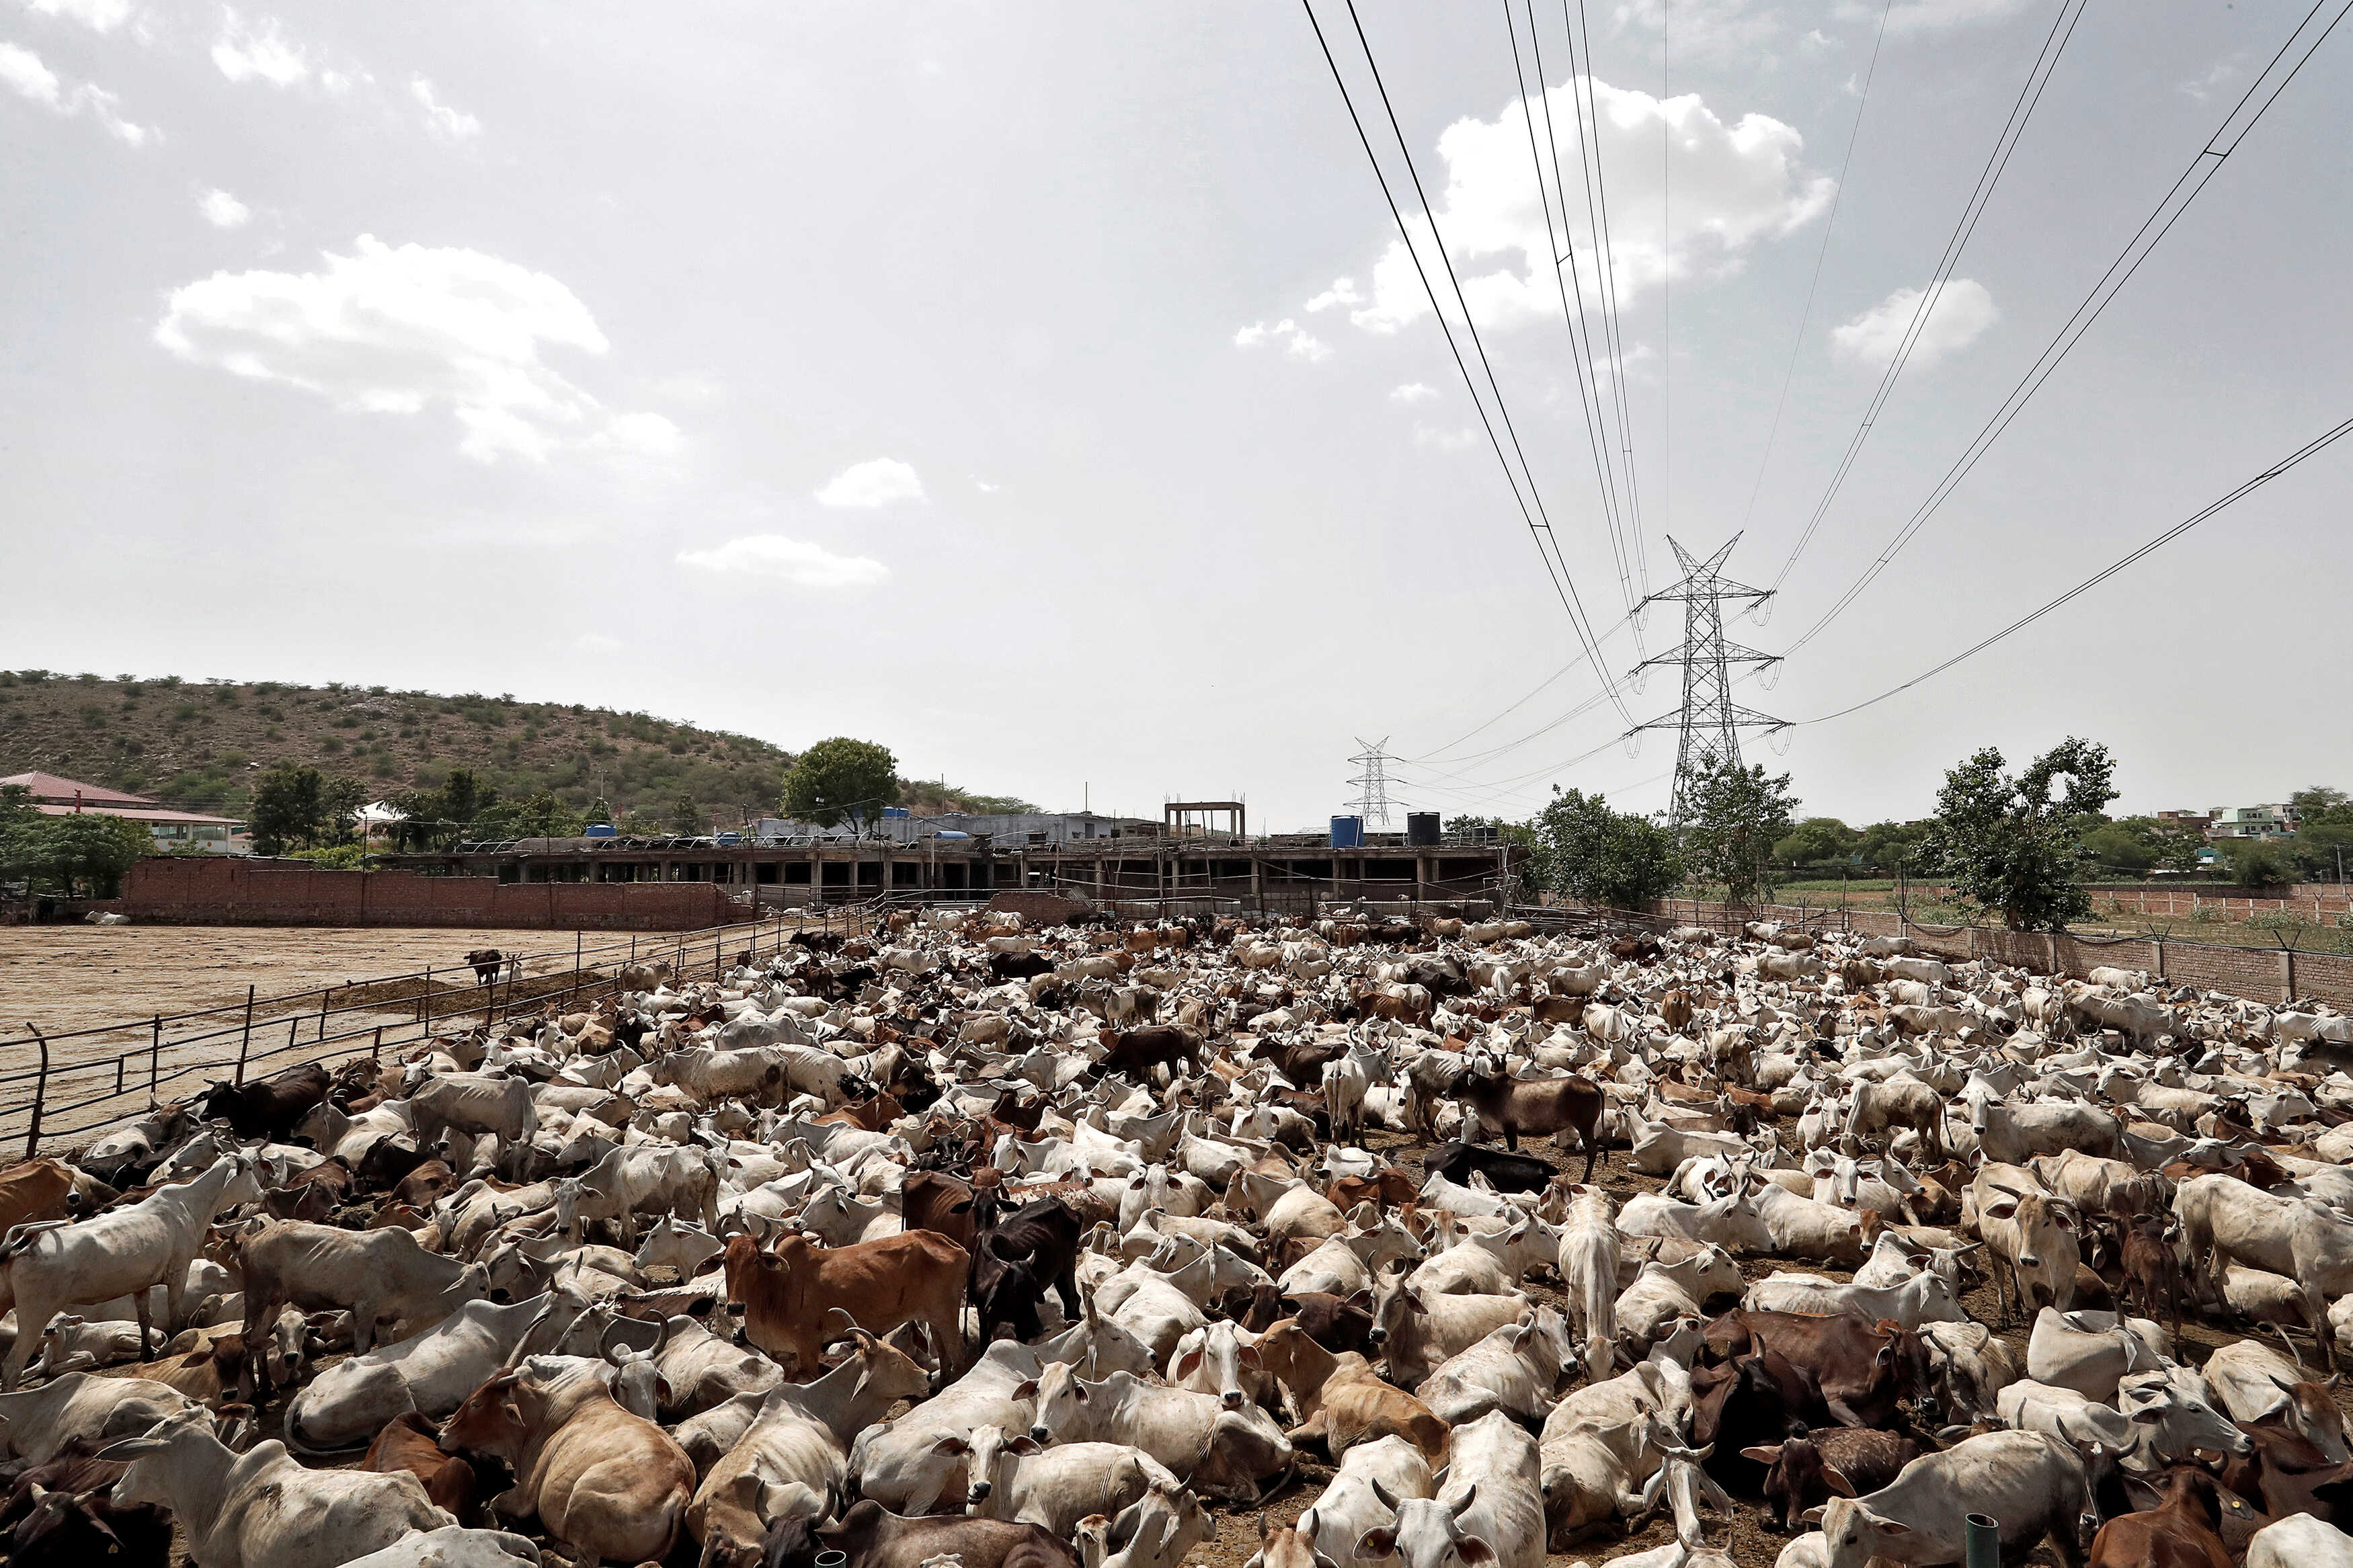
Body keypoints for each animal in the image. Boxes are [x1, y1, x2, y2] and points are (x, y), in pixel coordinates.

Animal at [720, 1222, 969, 1372]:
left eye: (755, 1260)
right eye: (725, 1261)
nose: (735, 1307)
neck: (775, 1289)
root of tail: (951, 1245)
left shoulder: (808, 1347)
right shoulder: (784, 1355)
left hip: (946, 1315)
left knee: (958, 1356)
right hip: (933, 1317)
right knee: (945, 1357)